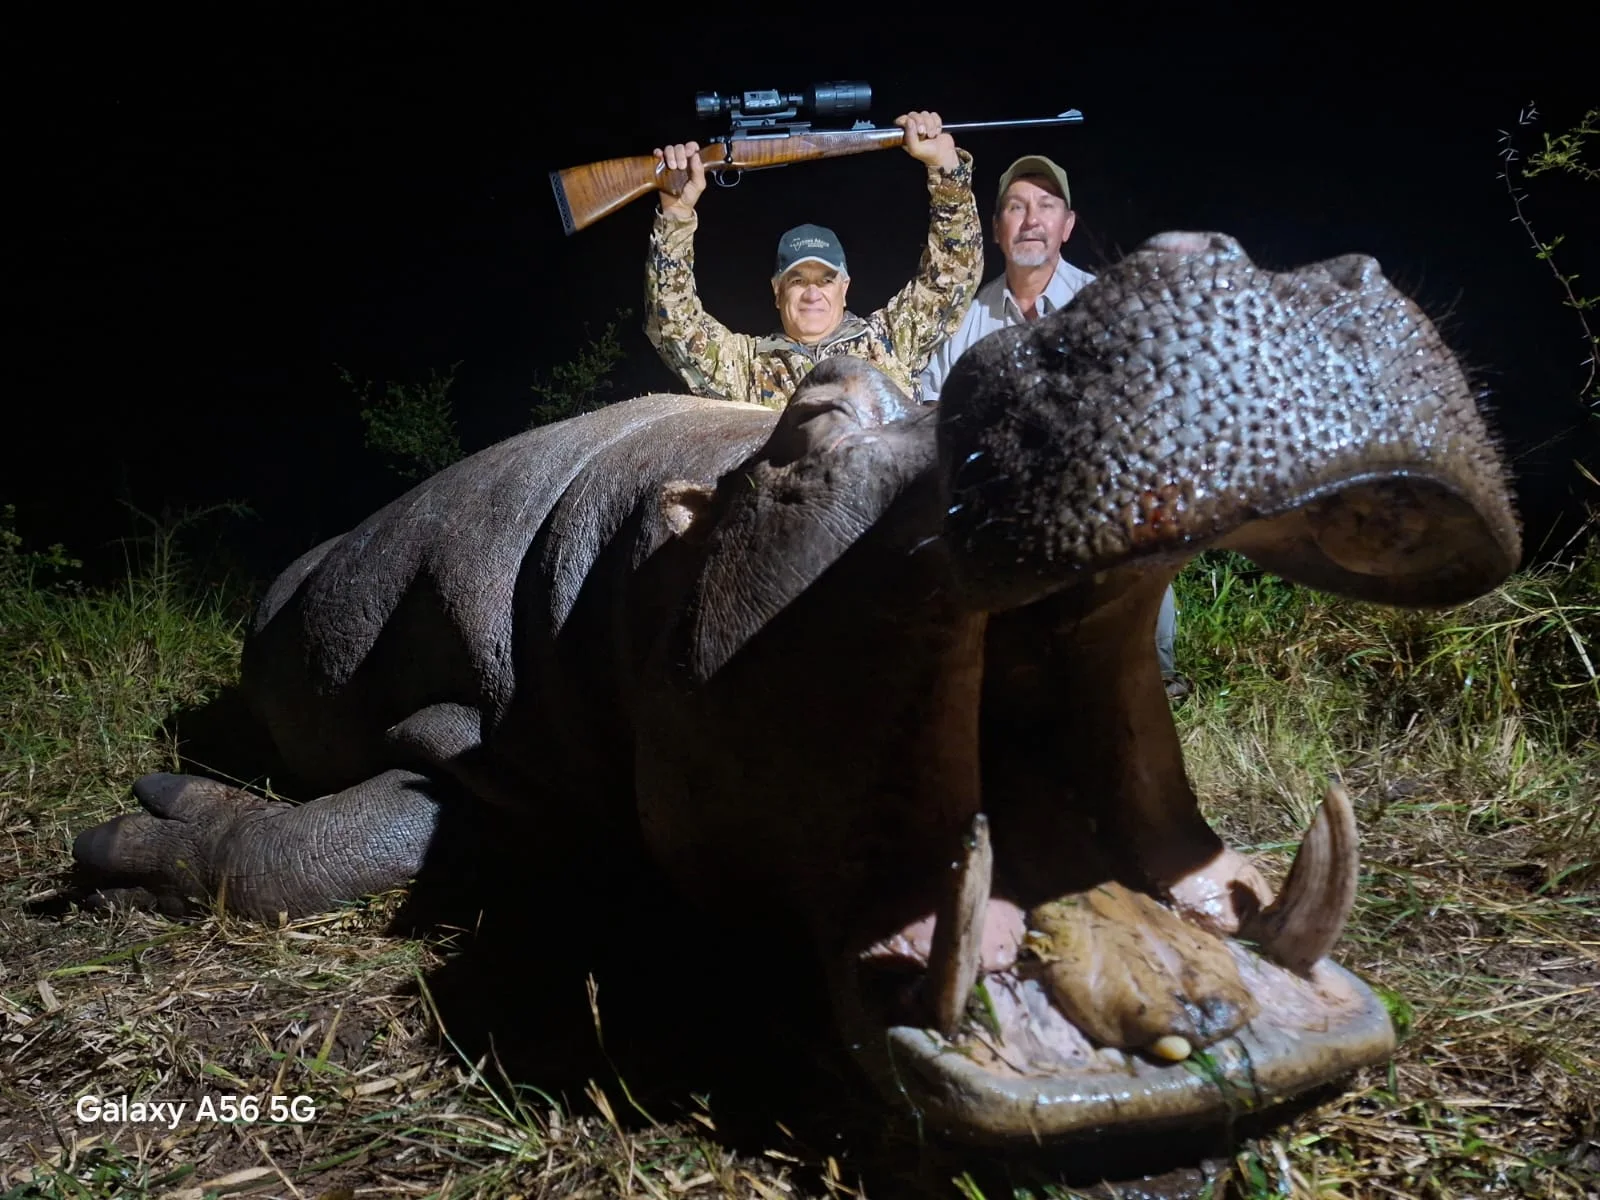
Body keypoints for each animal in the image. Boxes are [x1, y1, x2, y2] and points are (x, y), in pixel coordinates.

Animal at [71, 231, 1521, 1150]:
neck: (669, 537)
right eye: (817, 421)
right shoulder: (467, 746)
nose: (1235, 262)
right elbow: (308, 856)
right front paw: (129, 826)